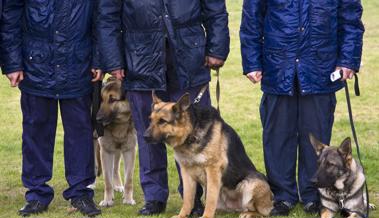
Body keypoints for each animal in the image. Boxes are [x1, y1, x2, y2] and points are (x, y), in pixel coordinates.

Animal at [95, 77, 137, 207]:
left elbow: (129, 179)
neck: (119, 124)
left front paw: (128, 199)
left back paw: (118, 185)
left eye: (112, 99)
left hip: (117, 149)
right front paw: (107, 200)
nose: (97, 119)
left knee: (115, 168)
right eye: (101, 99)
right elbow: (107, 181)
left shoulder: (129, 150)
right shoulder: (106, 151)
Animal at [143, 92, 274, 218]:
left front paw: (206, 216)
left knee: (263, 212)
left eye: (162, 121)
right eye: (150, 120)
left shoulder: (212, 170)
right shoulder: (186, 173)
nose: (144, 137)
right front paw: (182, 215)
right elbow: (187, 199)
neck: (191, 132)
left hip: (252, 183)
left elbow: (210, 200)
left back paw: (250, 213)